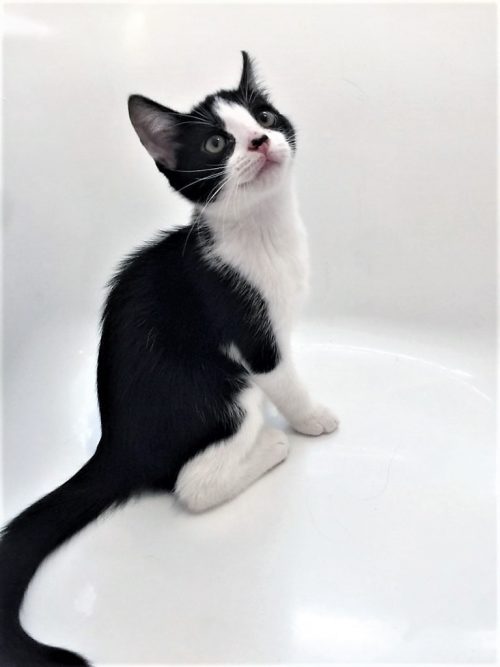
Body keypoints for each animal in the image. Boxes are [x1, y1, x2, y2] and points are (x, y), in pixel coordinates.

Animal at [0, 52, 338, 666]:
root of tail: (117, 447)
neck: (262, 234)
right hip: (221, 390)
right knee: (193, 485)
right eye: (216, 144)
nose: (259, 140)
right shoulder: (249, 328)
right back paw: (267, 448)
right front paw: (311, 420)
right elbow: (285, 379)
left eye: (264, 116)